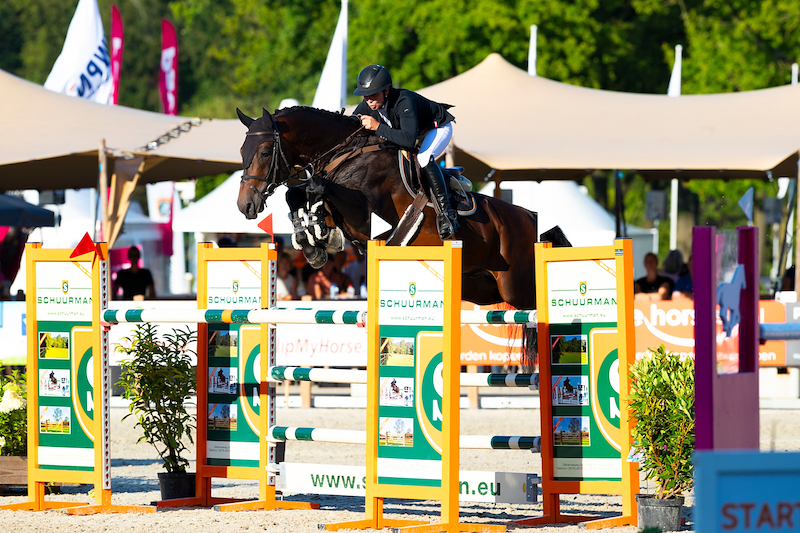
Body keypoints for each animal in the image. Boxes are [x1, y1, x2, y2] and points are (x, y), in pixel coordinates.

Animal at [236, 107, 568, 367]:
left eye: (264, 152)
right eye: (242, 152)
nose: (245, 206)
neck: (345, 154)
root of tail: (530, 217)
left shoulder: (366, 214)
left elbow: (315, 187)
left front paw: (317, 237)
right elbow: (298, 194)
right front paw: (313, 242)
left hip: (517, 287)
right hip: (481, 287)